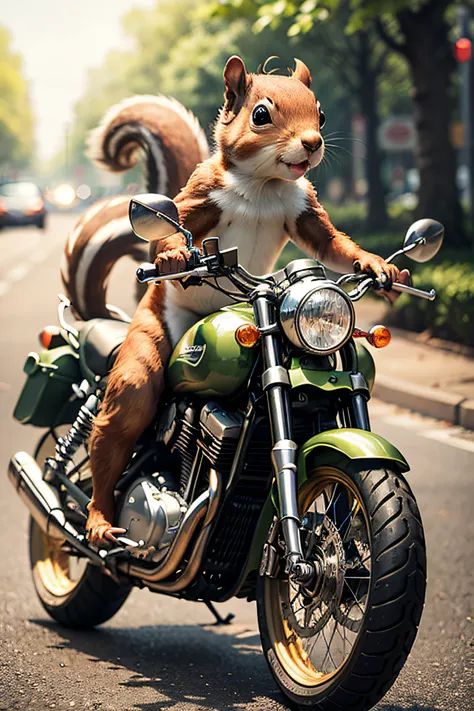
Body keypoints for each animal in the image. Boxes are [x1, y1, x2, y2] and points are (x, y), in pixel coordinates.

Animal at [61, 57, 406, 544]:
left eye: (320, 115)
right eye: (260, 115)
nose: (313, 143)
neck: (264, 184)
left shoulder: (304, 203)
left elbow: (329, 243)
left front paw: (380, 267)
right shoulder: (204, 190)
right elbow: (170, 228)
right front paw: (173, 256)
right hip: (146, 343)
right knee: (118, 421)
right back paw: (97, 521)